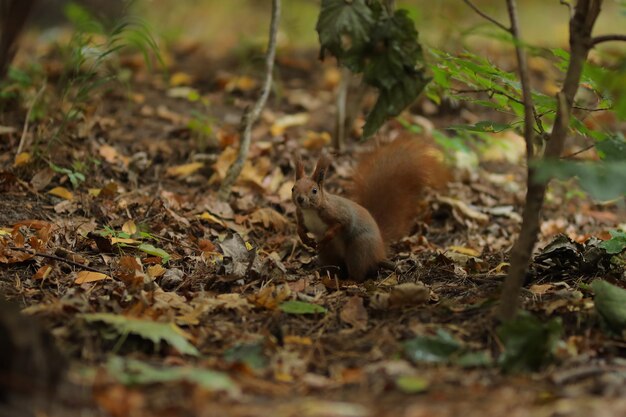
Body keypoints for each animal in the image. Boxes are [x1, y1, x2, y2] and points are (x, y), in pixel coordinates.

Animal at [292, 135, 444, 282]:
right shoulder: (301, 215)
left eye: (314, 191)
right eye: (293, 188)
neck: (310, 210)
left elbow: (340, 224)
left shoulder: (338, 213)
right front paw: (305, 239)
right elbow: (300, 228)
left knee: (358, 273)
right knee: (336, 266)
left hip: (359, 249)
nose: (300, 199)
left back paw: (349, 281)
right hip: (330, 253)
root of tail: (379, 251)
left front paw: (324, 239)